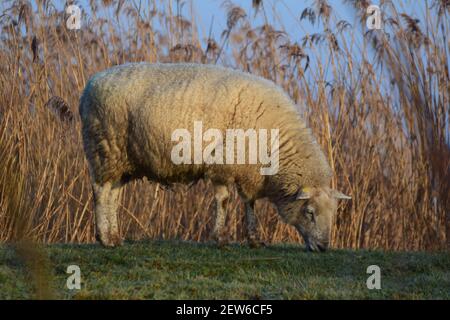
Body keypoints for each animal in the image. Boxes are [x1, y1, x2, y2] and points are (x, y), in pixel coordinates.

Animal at [79, 62, 350, 251]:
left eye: (333, 213)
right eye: (310, 212)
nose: (323, 248)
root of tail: (90, 84)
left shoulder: (250, 171)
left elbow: (250, 203)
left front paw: (254, 239)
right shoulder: (223, 165)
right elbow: (224, 201)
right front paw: (220, 238)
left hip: (122, 160)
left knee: (113, 194)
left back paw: (114, 236)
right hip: (105, 147)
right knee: (101, 192)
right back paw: (105, 239)